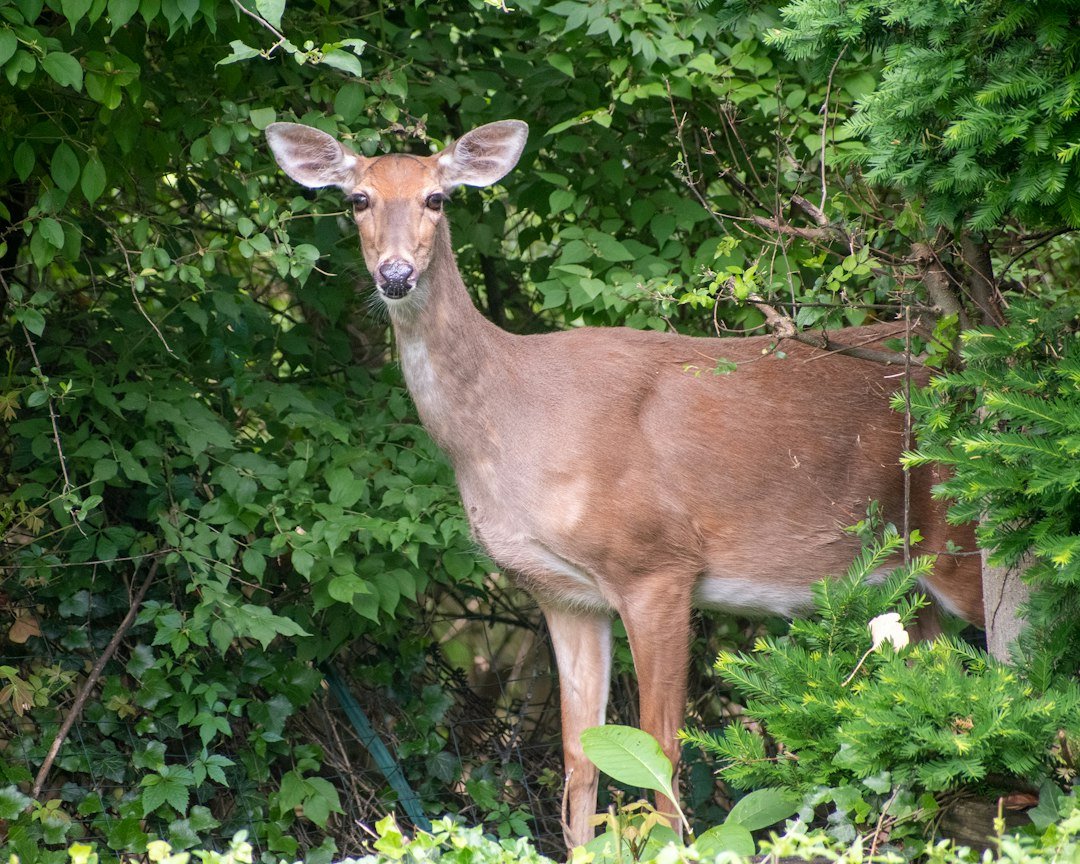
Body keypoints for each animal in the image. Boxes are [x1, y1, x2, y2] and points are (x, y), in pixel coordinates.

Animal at [265, 119, 985, 850]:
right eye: (358, 199)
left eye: (437, 198)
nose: (396, 274)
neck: (509, 424)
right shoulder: (563, 595)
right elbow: (580, 755)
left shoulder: (657, 565)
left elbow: (659, 751)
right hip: (911, 593)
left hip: (966, 544)